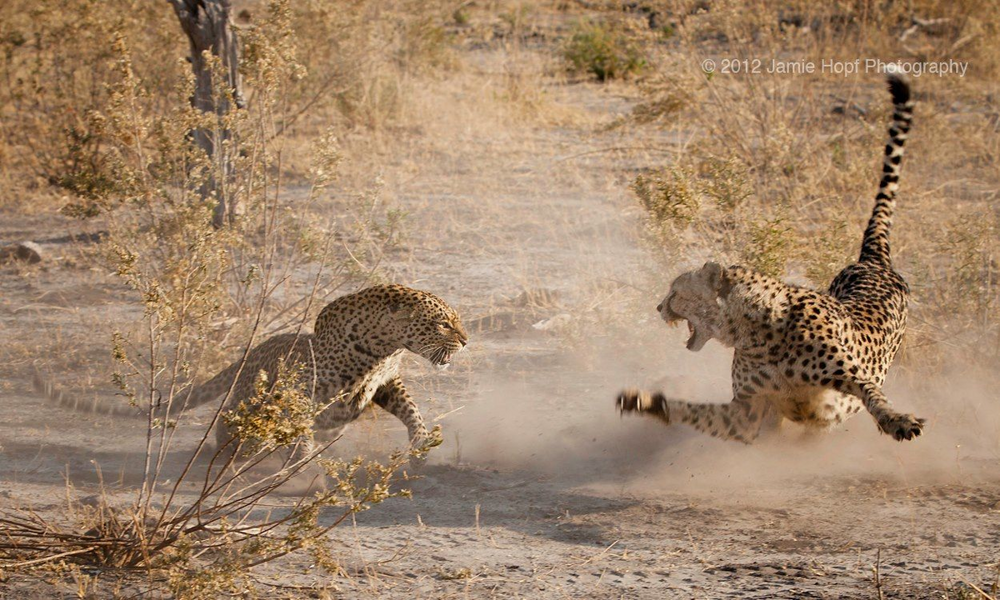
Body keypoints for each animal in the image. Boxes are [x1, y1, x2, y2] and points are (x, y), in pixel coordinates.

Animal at [32, 284, 468, 460]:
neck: (382, 347)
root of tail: (247, 354)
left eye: (455, 322)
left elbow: (411, 410)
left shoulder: (385, 382)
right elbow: (300, 428)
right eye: (443, 324)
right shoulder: (302, 387)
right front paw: (302, 464)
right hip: (245, 402)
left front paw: (420, 442)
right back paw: (237, 453)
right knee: (230, 427)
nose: (465, 341)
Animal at [612, 72, 924, 442]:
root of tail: (871, 260)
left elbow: (872, 393)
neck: (757, 333)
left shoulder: (848, 377)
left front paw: (898, 420)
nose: (659, 307)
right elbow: (695, 411)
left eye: (676, 291)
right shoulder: (748, 414)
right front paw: (645, 402)